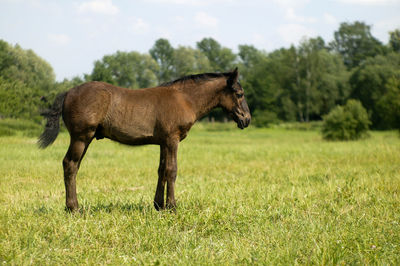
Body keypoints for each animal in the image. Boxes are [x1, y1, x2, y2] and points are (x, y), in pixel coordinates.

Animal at [37, 67, 250, 211]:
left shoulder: (163, 142)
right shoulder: (172, 140)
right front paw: (172, 206)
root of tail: (68, 92)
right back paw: (73, 208)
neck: (184, 99)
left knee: (74, 165)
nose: (246, 120)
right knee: (70, 164)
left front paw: (159, 205)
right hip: (81, 137)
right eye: (239, 94)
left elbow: (162, 170)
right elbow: (172, 170)